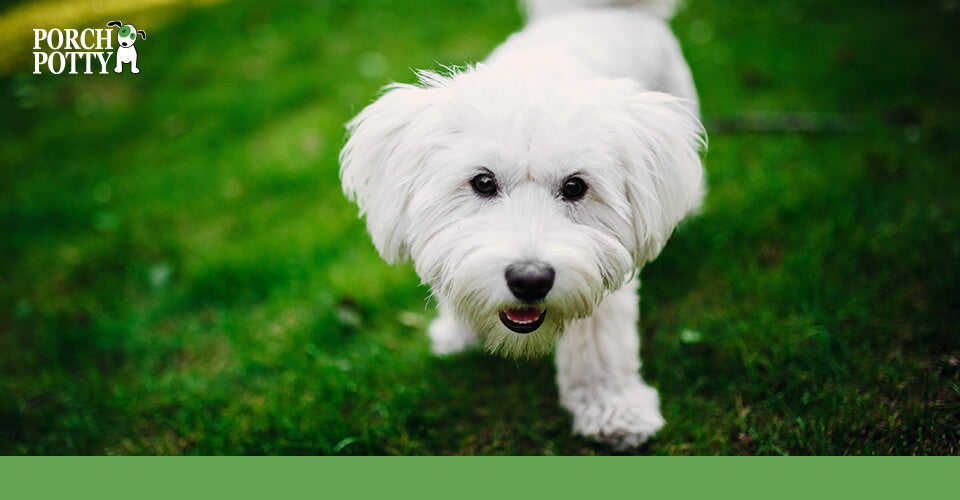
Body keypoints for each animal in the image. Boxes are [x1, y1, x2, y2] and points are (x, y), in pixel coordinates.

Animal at [342, 0, 700, 450]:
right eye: (483, 182)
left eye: (575, 186)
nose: (530, 280)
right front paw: (458, 332)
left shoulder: (601, 265)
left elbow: (600, 342)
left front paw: (613, 409)